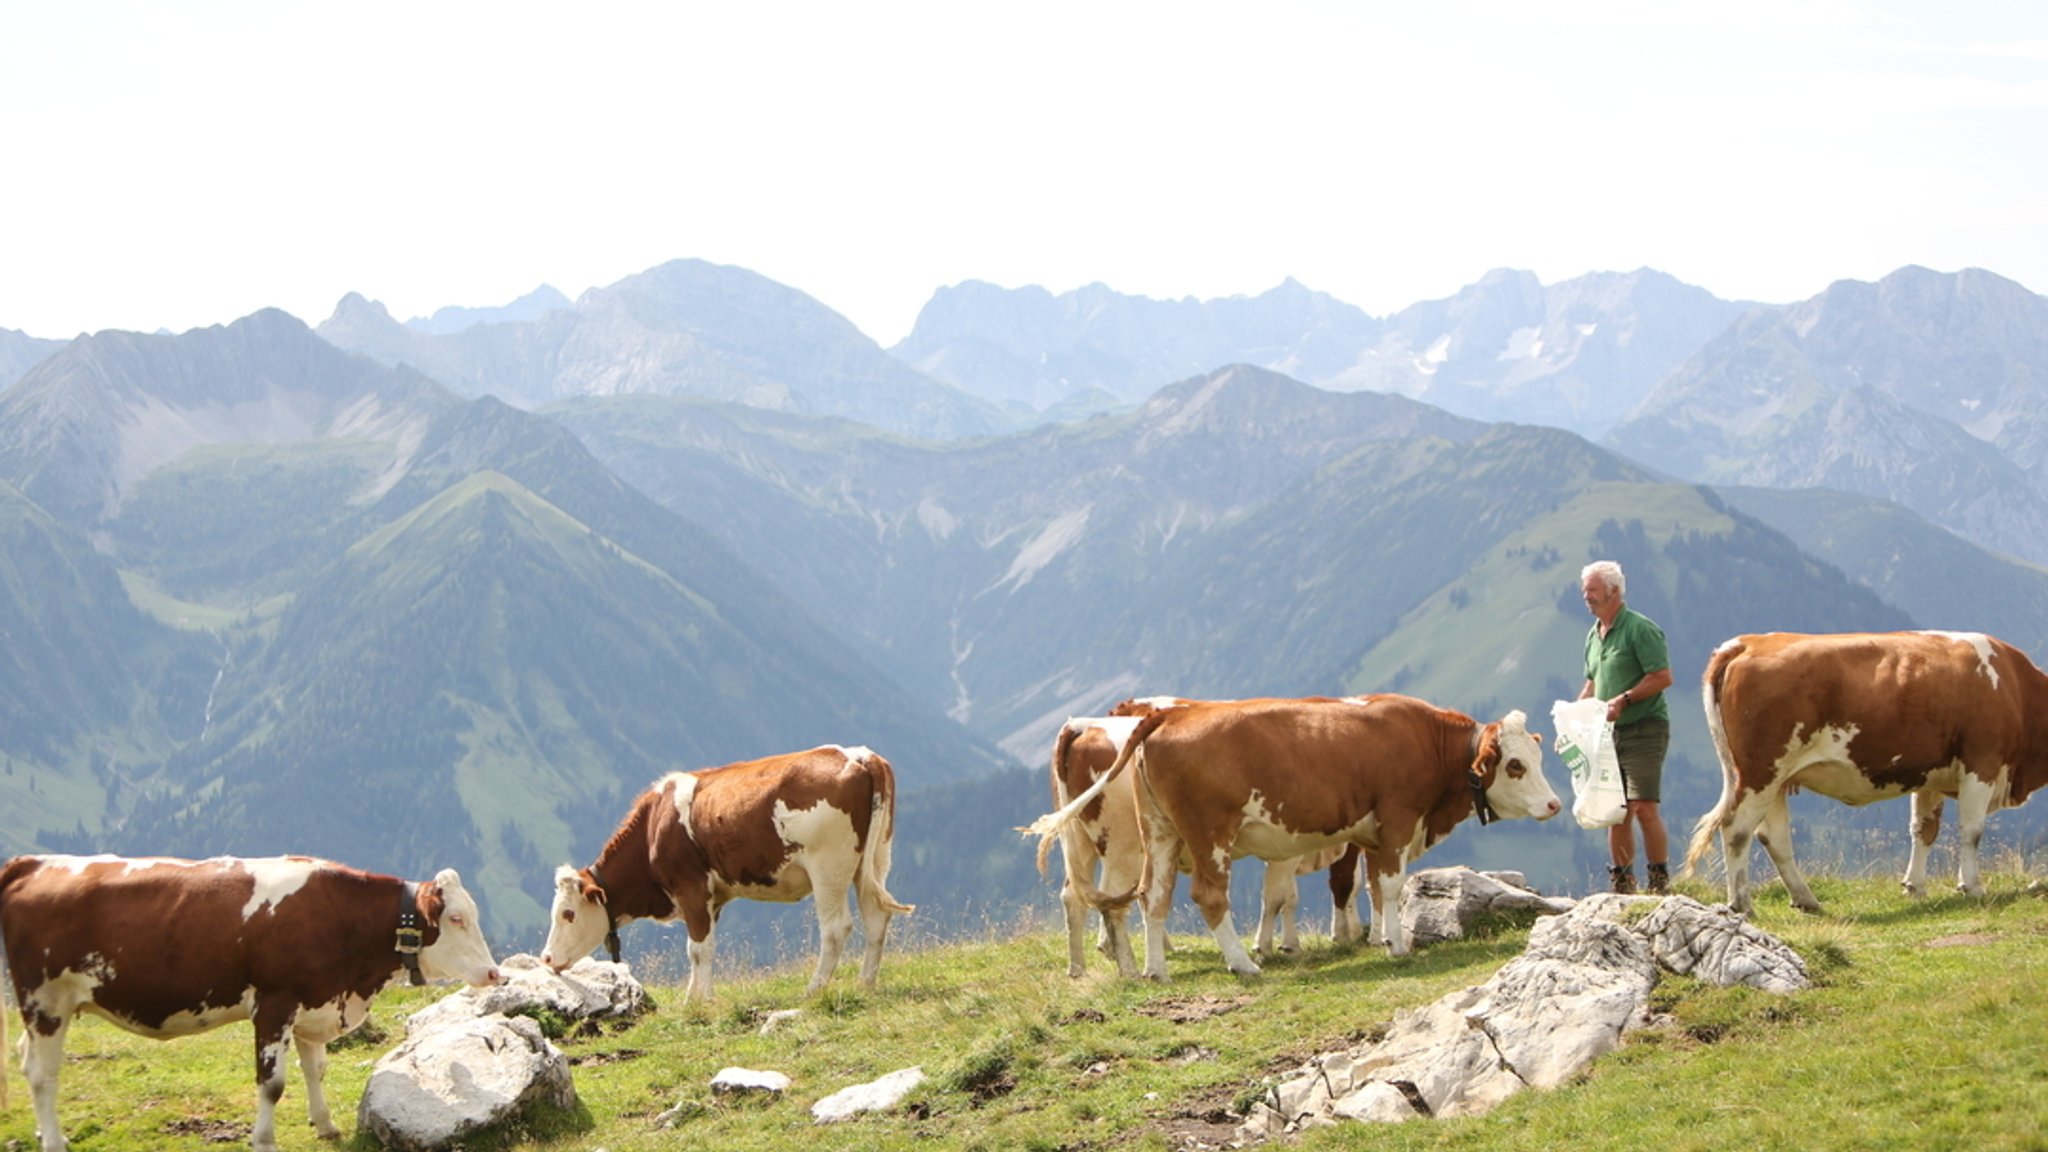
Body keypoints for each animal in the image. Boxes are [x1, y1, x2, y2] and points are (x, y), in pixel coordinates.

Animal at [1, 848, 495, 1147]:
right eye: (455, 918)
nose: (493, 972)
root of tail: (33, 862)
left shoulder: (313, 1002)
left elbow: (315, 1068)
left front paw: (326, 1124)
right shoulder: (275, 1003)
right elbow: (272, 1083)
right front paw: (264, 1140)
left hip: (49, 1007)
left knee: (27, 1060)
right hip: (45, 999)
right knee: (43, 1074)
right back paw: (55, 1139)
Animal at [540, 737, 909, 1000]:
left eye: (568, 914)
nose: (545, 959)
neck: (653, 830)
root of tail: (860, 755)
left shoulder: (690, 887)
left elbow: (697, 949)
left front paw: (699, 1003)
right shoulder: (712, 898)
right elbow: (703, 949)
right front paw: (698, 1000)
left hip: (828, 866)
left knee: (836, 928)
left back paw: (813, 990)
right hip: (874, 860)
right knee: (876, 917)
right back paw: (865, 985)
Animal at [1015, 688, 1556, 975]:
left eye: (1537, 756)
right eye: (1514, 766)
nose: (1553, 804)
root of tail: (1168, 714)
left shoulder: (1364, 835)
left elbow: (1357, 890)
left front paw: (1375, 938)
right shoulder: (1396, 820)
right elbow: (1385, 885)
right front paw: (1395, 945)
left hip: (1157, 835)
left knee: (1145, 896)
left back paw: (1151, 970)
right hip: (1193, 836)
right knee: (1197, 896)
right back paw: (1237, 964)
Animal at [1679, 631, 2048, 910]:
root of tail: (1748, 642)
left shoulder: (1930, 775)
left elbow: (1924, 831)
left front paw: (1915, 886)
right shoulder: (1982, 762)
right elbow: (1971, 831)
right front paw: (1972, 886)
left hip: (1775, 780)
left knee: (1773, 837)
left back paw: (1806, 899)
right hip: (1759, 773)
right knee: (1737, 829)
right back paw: (1742, 904)